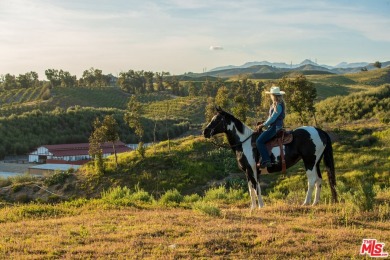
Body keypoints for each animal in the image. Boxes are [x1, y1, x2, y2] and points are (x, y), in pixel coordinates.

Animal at [203, 107, 336, 209]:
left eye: (217, 119)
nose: (205, 132)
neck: (243, 143)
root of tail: (320, 131)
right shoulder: (248, 171)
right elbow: (252, 189)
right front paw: (253, 207)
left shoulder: (252, 169)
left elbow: (255, 188)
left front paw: (260, 206)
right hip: (316, 162)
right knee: (319, 179)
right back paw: (315, 203)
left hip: (309, 161)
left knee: (312, 180)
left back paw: (306, 203)